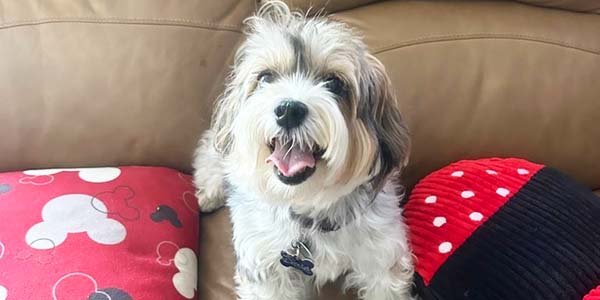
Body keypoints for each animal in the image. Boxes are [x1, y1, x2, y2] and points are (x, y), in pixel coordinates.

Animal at [195, 1, 414, 298]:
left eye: (334, 83)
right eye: (266, 78)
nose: (289, 110)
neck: (308, 206)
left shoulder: (381, 256)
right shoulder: (266, 266)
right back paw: (209, 195)